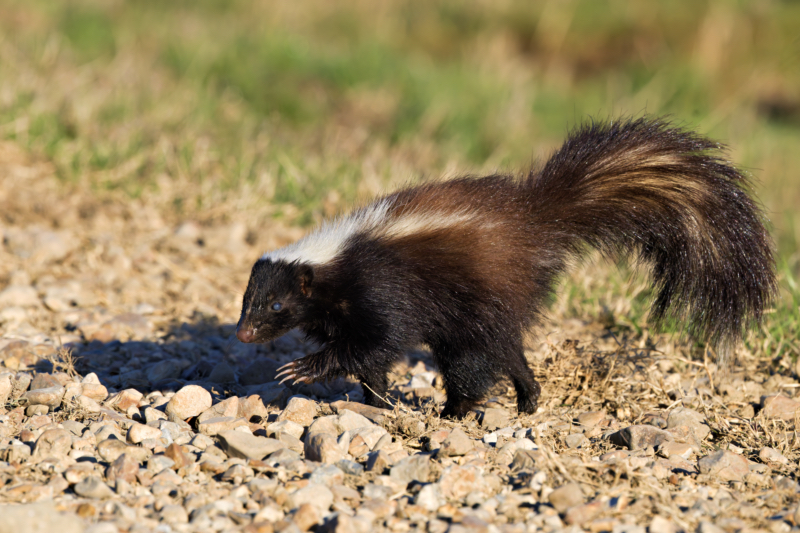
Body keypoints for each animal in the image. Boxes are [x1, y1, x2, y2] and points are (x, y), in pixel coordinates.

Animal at [234, 118, 772, 418]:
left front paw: (302, 370)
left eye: (276, 304)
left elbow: (376, 343)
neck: (336, 259)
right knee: (508, 351)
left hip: (480, 295)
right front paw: (376, 402)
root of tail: (536, 218)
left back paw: (454, 412)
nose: (243, 333)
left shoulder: (381, 289)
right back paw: (528, 399)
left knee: (476, 358)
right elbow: (368, 361)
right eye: (247, 301)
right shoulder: (343, 311)